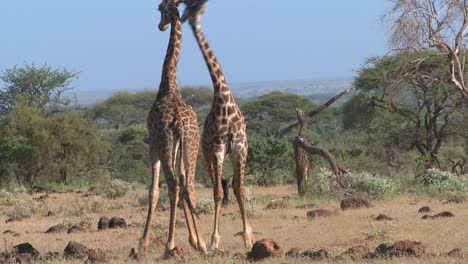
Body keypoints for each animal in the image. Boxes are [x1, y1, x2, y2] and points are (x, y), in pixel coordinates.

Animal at [135, 0, 205, 256]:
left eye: (159, 8)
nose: (161, 26)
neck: (168, 85)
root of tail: (180, 123)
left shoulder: (153, 146)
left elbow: (153, 191)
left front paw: (142, 243)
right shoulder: (177, 148)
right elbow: (183, 188)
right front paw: (195, 240)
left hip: (165, 146)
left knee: (174, 186)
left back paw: (169, 244)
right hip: (192, 148)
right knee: (189, 186)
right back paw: (203, 244)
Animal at [180, 0, 252, 250]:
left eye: (195, 6)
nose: (185, 17)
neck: (223, 99)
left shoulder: (239, 147)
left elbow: (240, 188)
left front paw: (248, 237)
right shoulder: (219, 148)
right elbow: (219, 192)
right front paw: (214, 239)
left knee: (231, 185)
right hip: (207, 155)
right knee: (215, 186)